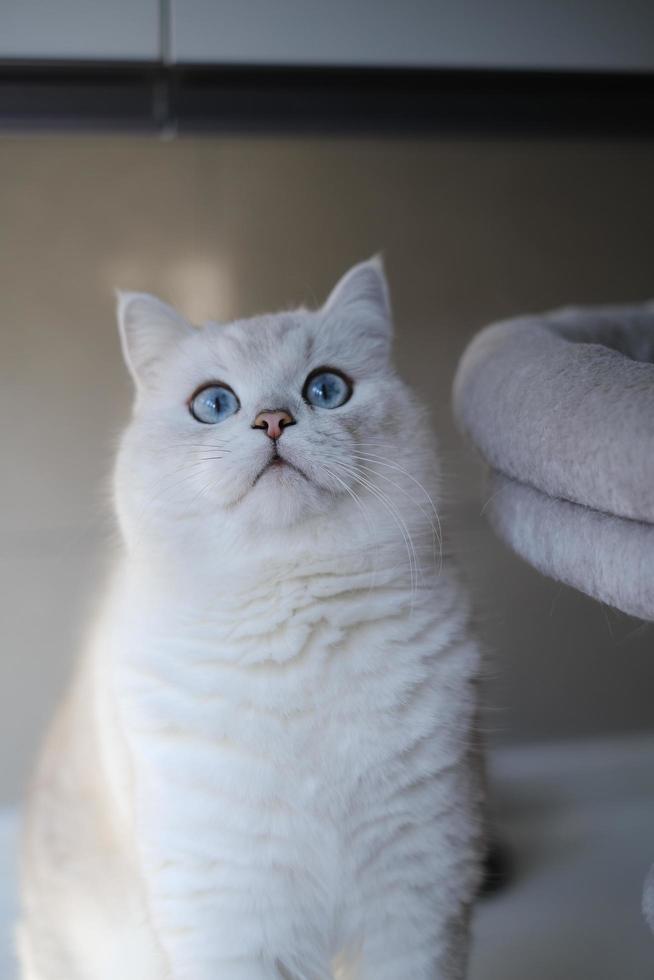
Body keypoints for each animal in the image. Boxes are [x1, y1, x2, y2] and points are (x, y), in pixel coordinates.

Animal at [18, 260, 484, 980]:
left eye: (326, 389)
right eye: (214, 404)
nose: (273, 420)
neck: (294, 625)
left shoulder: (416, 898)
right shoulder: (232, 918)